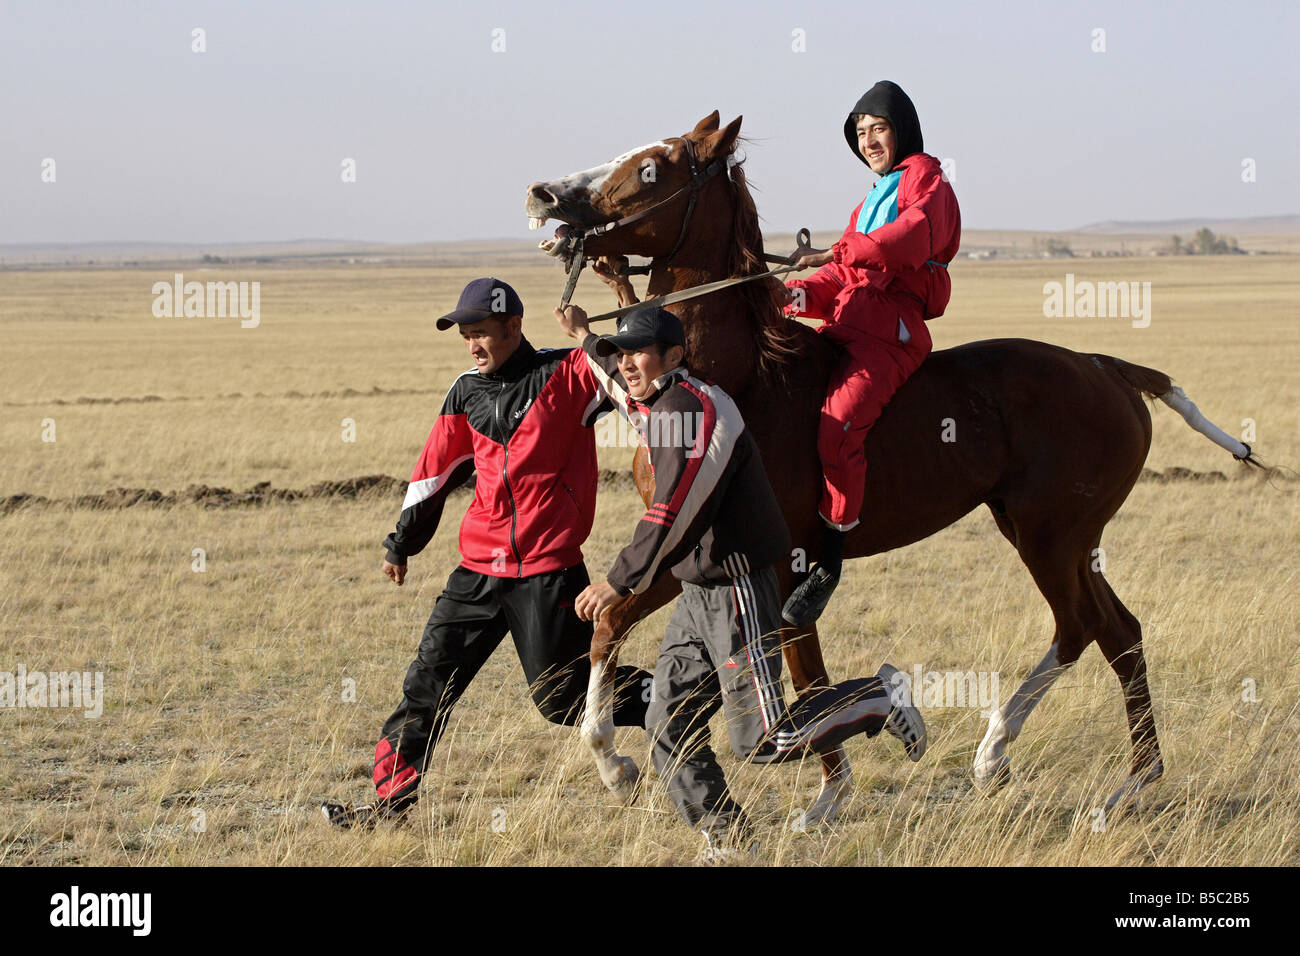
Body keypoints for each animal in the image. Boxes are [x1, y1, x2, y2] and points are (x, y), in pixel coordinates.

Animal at [522, 110, 1253, 816]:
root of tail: (1108, 367)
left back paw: (1000, 753)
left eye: (653, 165)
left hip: (1052, 536)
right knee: (1120, 632)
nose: (543, 194)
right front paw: (829, 793)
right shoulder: (710, 554)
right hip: (1058, 536)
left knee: (1080, 627)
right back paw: (1135, 777)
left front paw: (615, 764)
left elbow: (734, 655)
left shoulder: (747, 556)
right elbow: (754, 656)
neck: (737, 379)